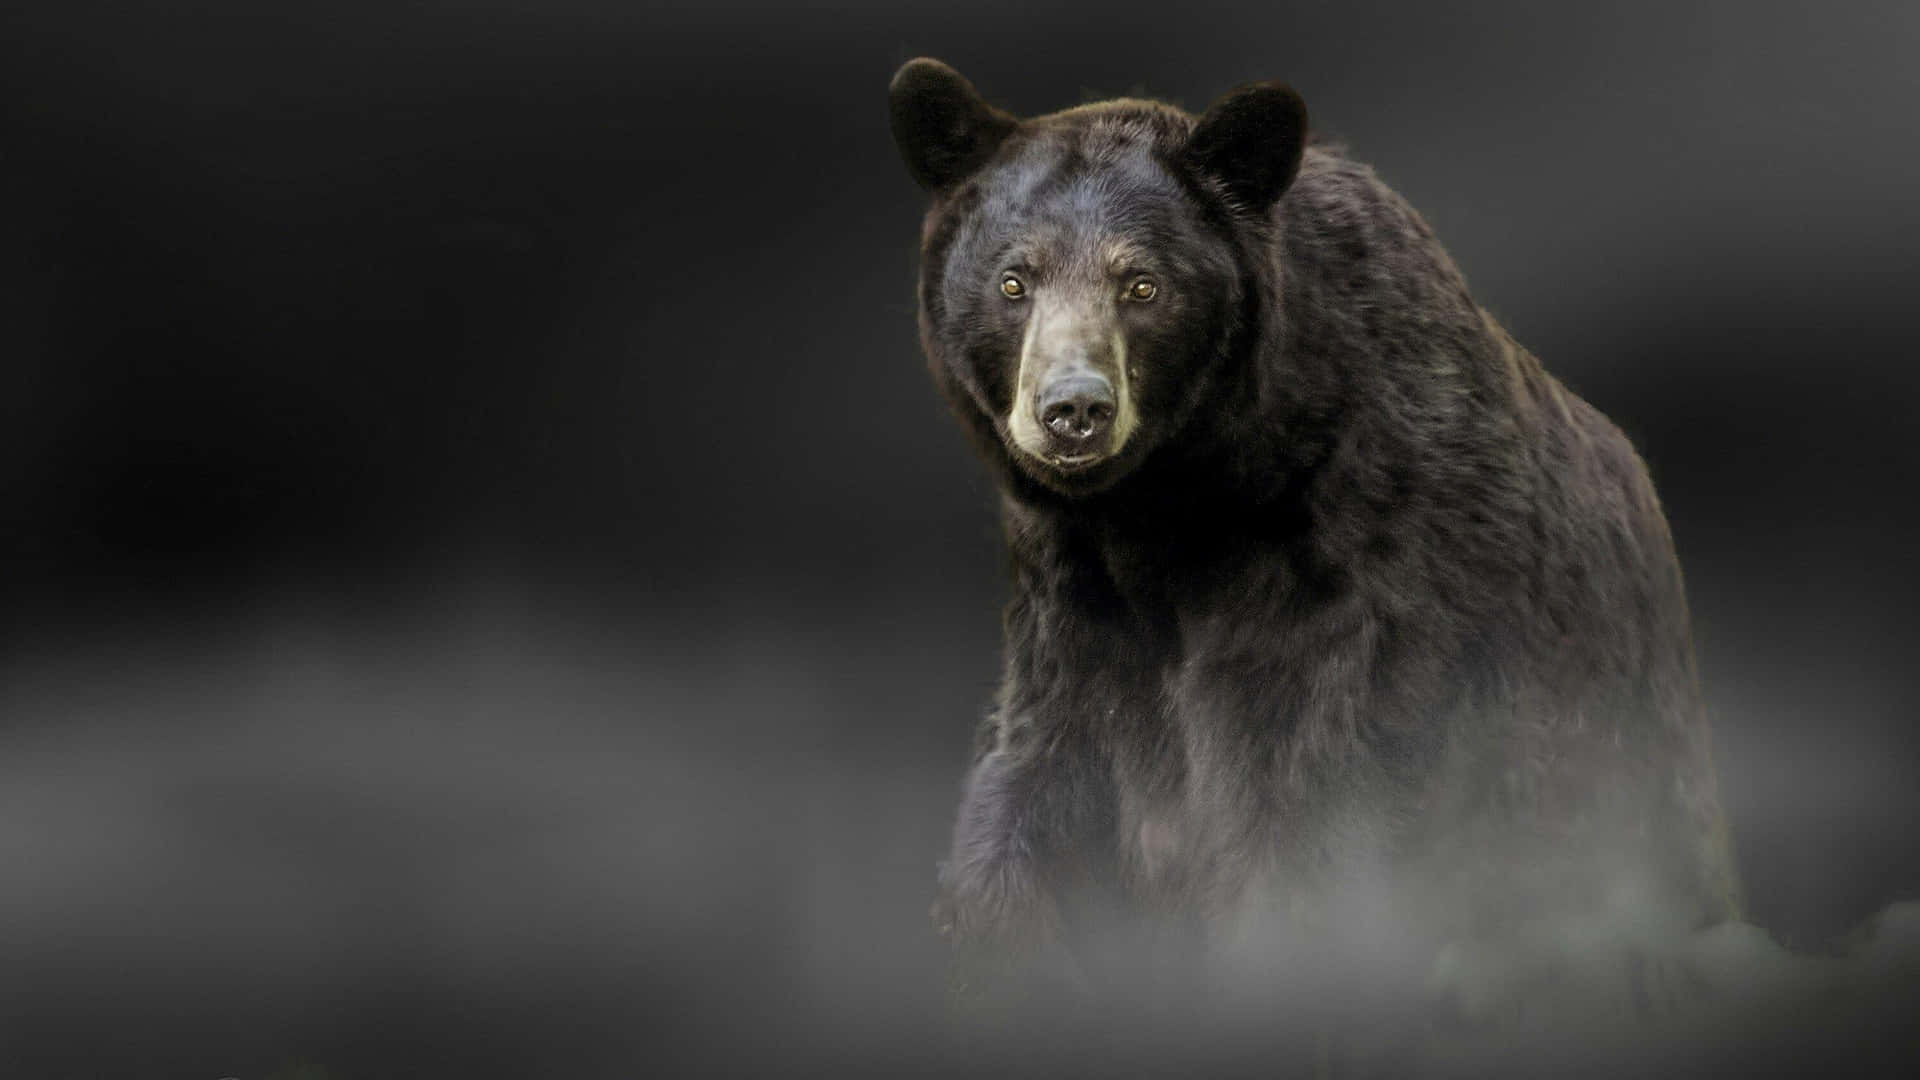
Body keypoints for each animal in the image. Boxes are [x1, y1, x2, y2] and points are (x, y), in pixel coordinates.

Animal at [887, 58, 1742, 1027]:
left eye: (1142, 285)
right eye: (1013, 280)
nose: (1074, 408)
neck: (1176, 506)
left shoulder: (1362, 580)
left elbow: (1311, 812)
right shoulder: (1068, 599)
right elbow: (1032, 785)